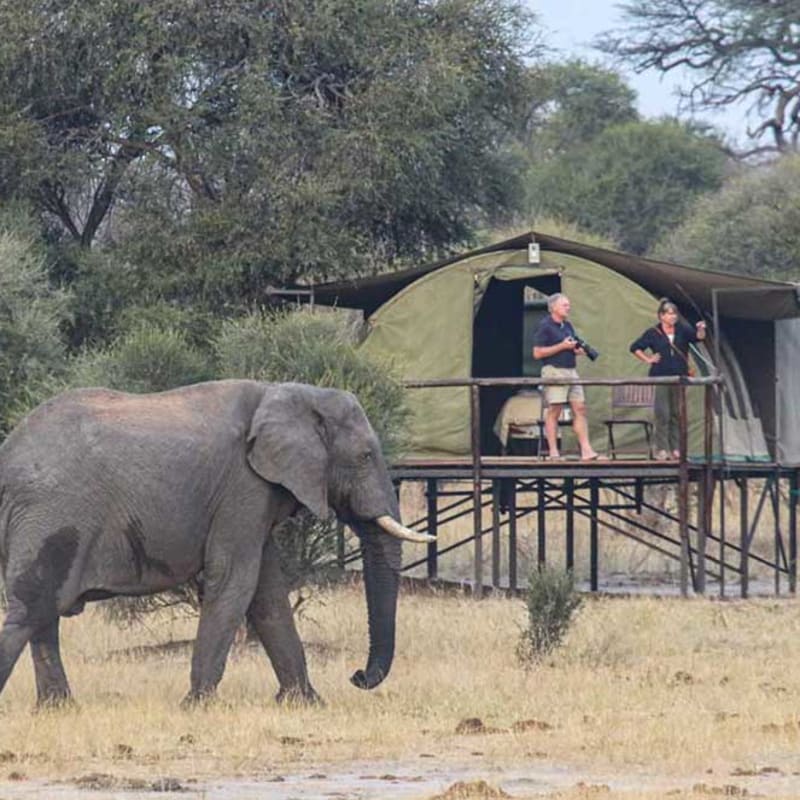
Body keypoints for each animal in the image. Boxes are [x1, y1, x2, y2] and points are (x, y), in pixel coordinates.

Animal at [0, 380, 432, 707]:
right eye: (365, 456)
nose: (356, 676)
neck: (285, 391)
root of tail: (8, 453)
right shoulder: (244, 487)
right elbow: (234, 581)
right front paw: (197, 706)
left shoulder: (256, 495)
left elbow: (269, 594)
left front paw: (306, 704)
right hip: (52, 511)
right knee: (31, 607)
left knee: (43, 612)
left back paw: (58, 709)